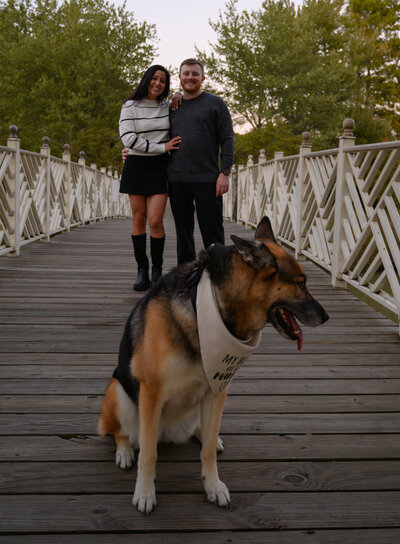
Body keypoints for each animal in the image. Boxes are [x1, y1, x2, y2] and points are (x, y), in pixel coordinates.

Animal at [98, 215, 330, 512]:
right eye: (301, 283)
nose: (326, 316)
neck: (207, 308)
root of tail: (167, 431)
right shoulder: (151, 393)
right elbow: (149, 452)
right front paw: (145, 492)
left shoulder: (217, 389)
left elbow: (207, 449)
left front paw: (213, 486)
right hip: (120, 392)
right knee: (123, 433)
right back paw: (125, 451)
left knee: (201, 432)